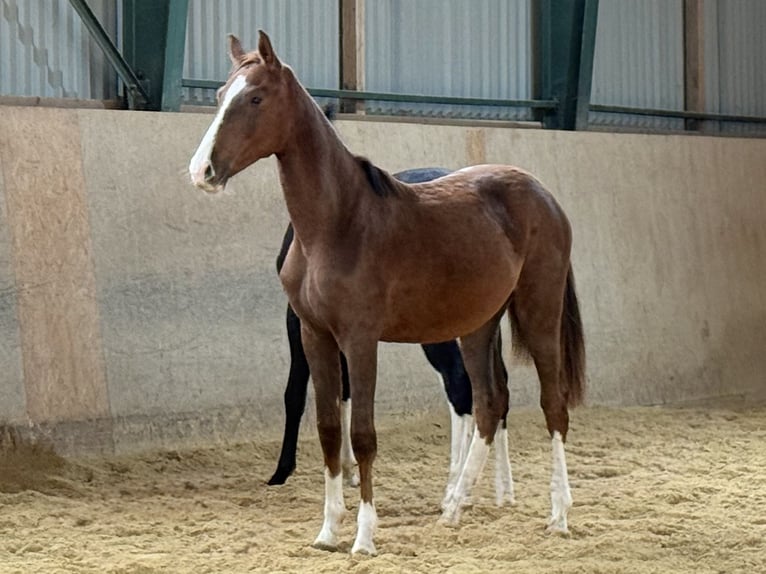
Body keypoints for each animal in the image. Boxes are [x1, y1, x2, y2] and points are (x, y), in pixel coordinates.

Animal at [268, 167, 515, 515]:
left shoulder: (301, 321)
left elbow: (295, 394)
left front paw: (281, 471)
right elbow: (345, 391)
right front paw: (348, 470)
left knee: (461, 387)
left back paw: (454, 489)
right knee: (495, 389)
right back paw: (501, 489)